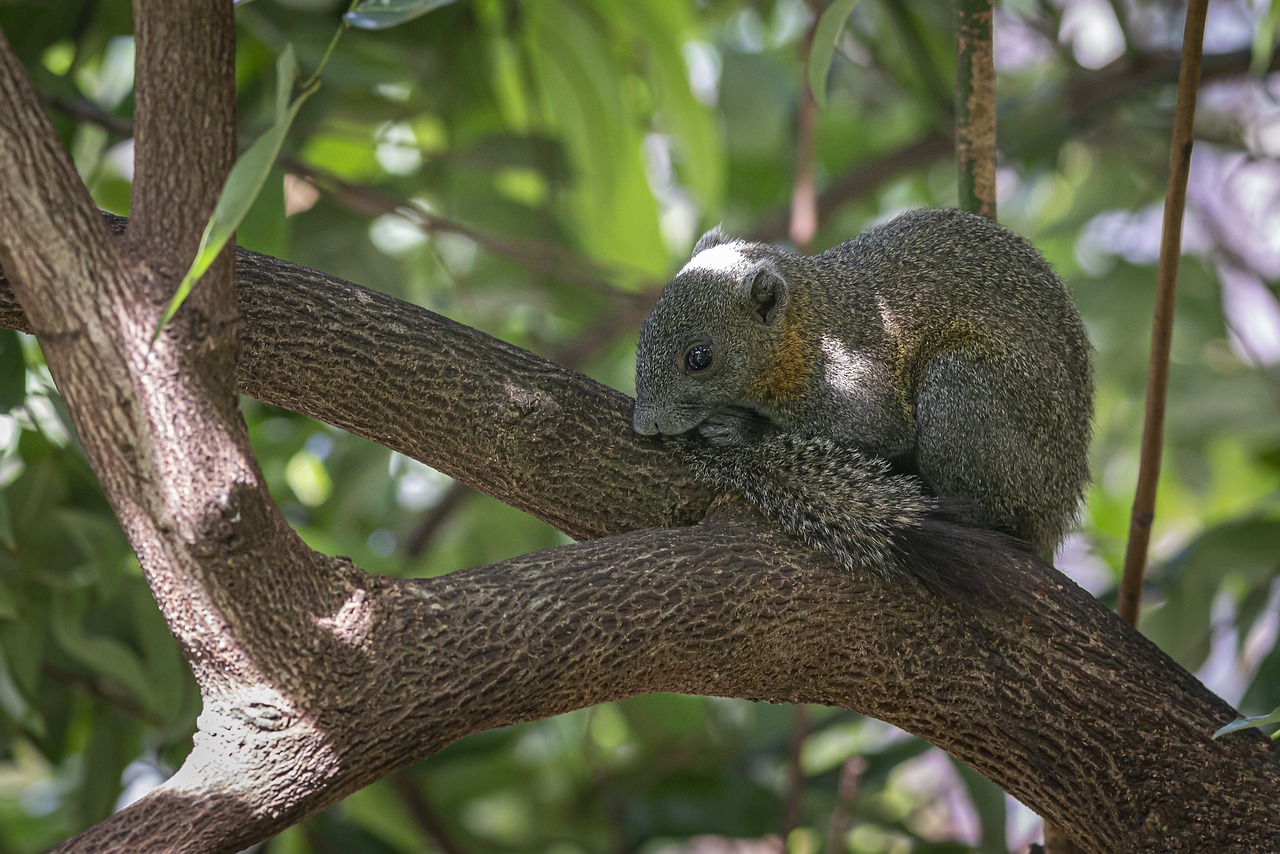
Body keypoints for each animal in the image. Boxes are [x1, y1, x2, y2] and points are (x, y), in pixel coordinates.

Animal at [634, 208, 1095, 594]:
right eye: (644, 332)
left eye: (699, 357)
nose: (644, 422)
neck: (803, 330)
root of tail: (1055, 514)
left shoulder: (847, 380)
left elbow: (879, 431)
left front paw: (742, 427)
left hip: (960, 385)